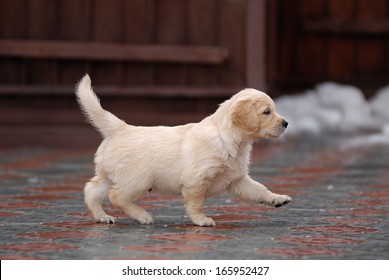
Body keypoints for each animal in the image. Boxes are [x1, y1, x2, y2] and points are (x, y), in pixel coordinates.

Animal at [76, 74, 290, 225]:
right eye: (266, 112)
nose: (286, 123)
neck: (229, 139)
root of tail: (121, 129)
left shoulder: (237, 179)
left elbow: (259, 189)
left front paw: (277, 199)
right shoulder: (196, 181)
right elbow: (196, 203)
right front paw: (201, 220)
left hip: (109, 175)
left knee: (91, 190)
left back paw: (102, 217)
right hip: (137, 179)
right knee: (117, 196)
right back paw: (142, 216)